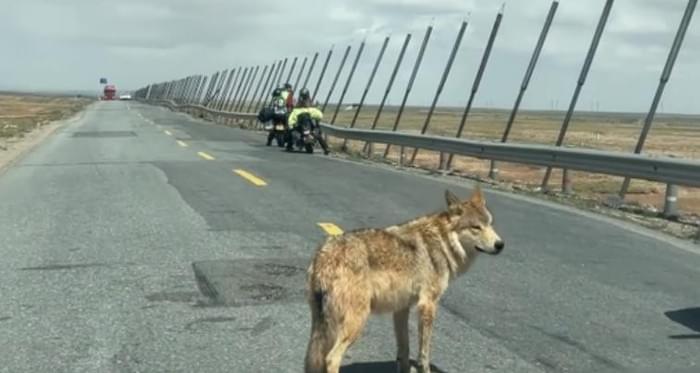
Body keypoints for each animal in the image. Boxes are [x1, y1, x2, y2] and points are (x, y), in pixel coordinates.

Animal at [304, 186, 506, 372]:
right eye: (476, 227)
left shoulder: (401, 309)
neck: (442, 242)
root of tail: (324, 253)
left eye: (490, 224)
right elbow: (423, 354)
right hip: (356, 322)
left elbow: (404, 350)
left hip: (321, 326)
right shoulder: (427, 305)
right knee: (331, 358)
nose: (500, 245)